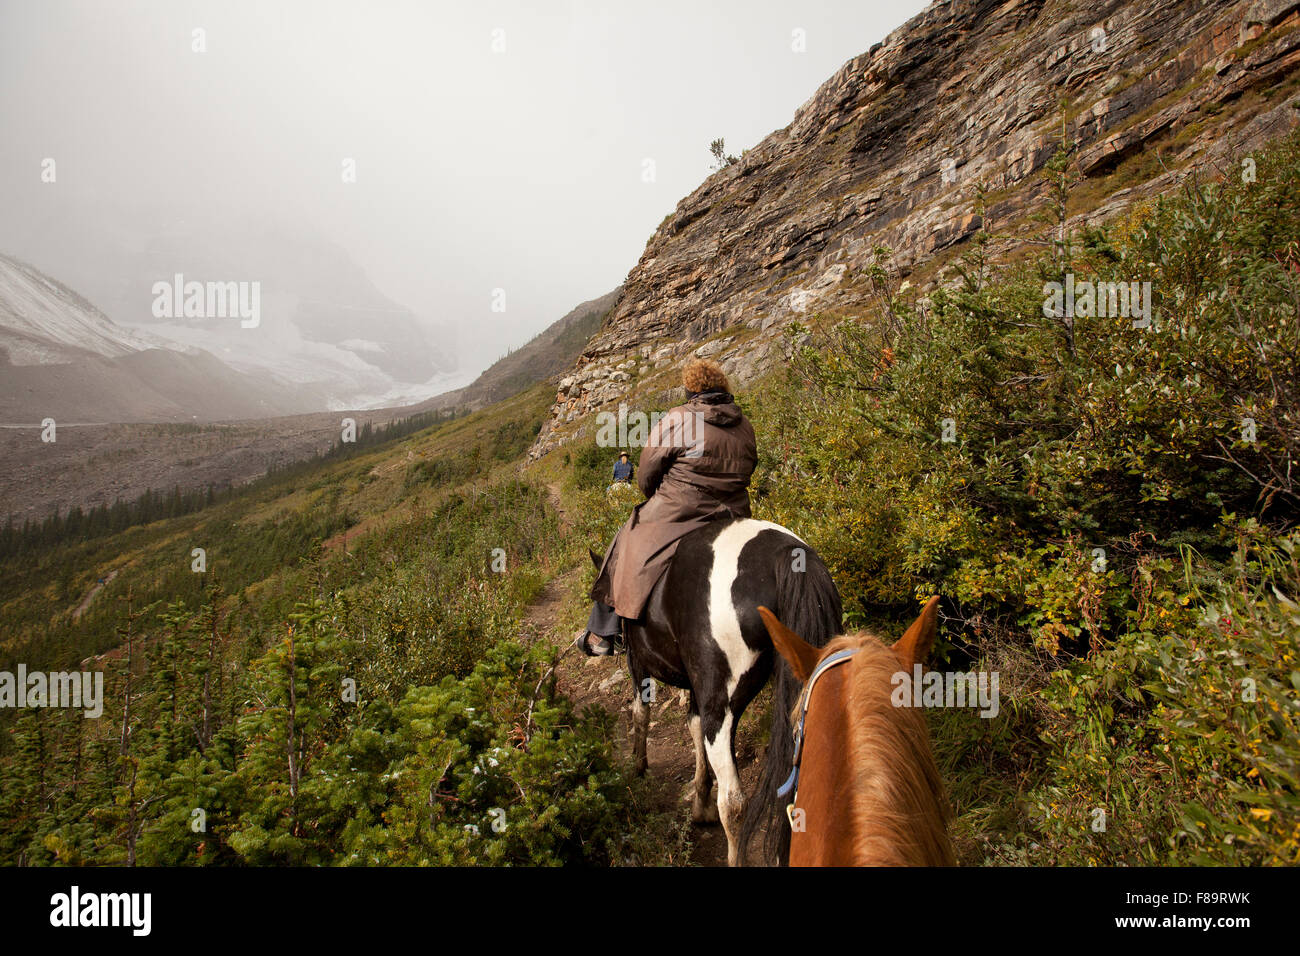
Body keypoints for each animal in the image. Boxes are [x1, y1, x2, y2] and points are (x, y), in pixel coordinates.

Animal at [592, 515, 842, 868]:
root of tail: (787, 557)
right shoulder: (697, 687)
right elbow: (693, 726)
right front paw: (700, 802)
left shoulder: (639, 663)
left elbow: (641, 713)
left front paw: (638, 767)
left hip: (721, 705)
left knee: (734, 801)